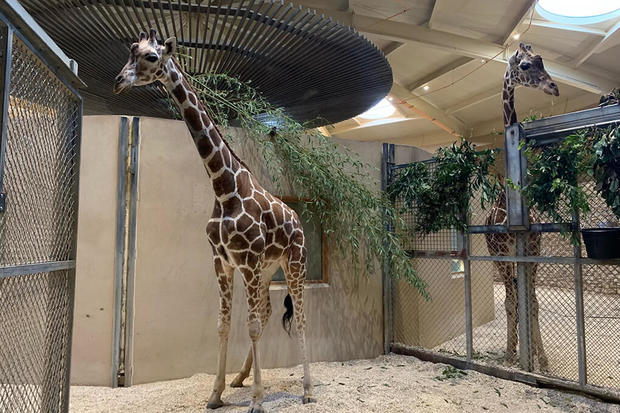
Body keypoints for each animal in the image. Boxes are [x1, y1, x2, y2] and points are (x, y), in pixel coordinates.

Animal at [113, 29, 314, 412]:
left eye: (150, 56)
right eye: (129, 51)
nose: (118, 81)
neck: (224, 188)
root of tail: (297, 219)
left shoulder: (247, 261)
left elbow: (251, 326)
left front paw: (257, 401)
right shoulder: (223, 261)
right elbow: (224, 325)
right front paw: (216, 393)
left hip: (294, 262)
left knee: (299, 315)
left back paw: (309, 389)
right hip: (268, 268)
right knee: (268, 309)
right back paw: (241, 377)